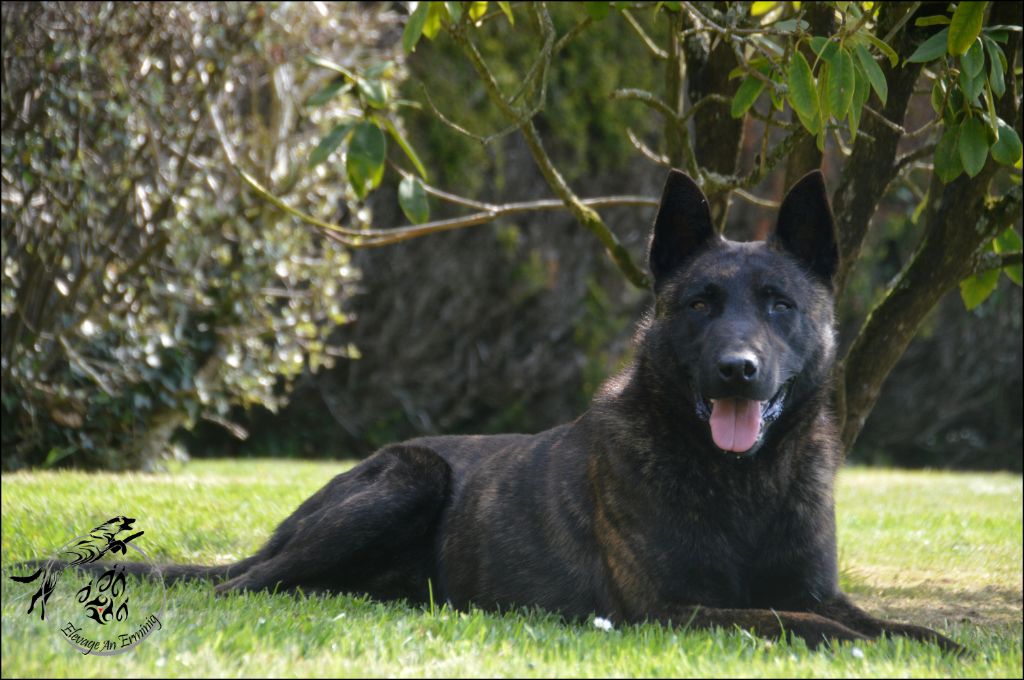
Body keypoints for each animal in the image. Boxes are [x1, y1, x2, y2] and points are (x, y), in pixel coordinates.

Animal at [22, 170, 961, 652]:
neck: (740, 484)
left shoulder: (818, 586)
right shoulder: (674, 609)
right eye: (700, 304)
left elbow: (879, 621)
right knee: (241, 587)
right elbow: (802, 624)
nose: (739, 371)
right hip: (405, 479)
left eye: (778, 305)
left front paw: (945, 646)